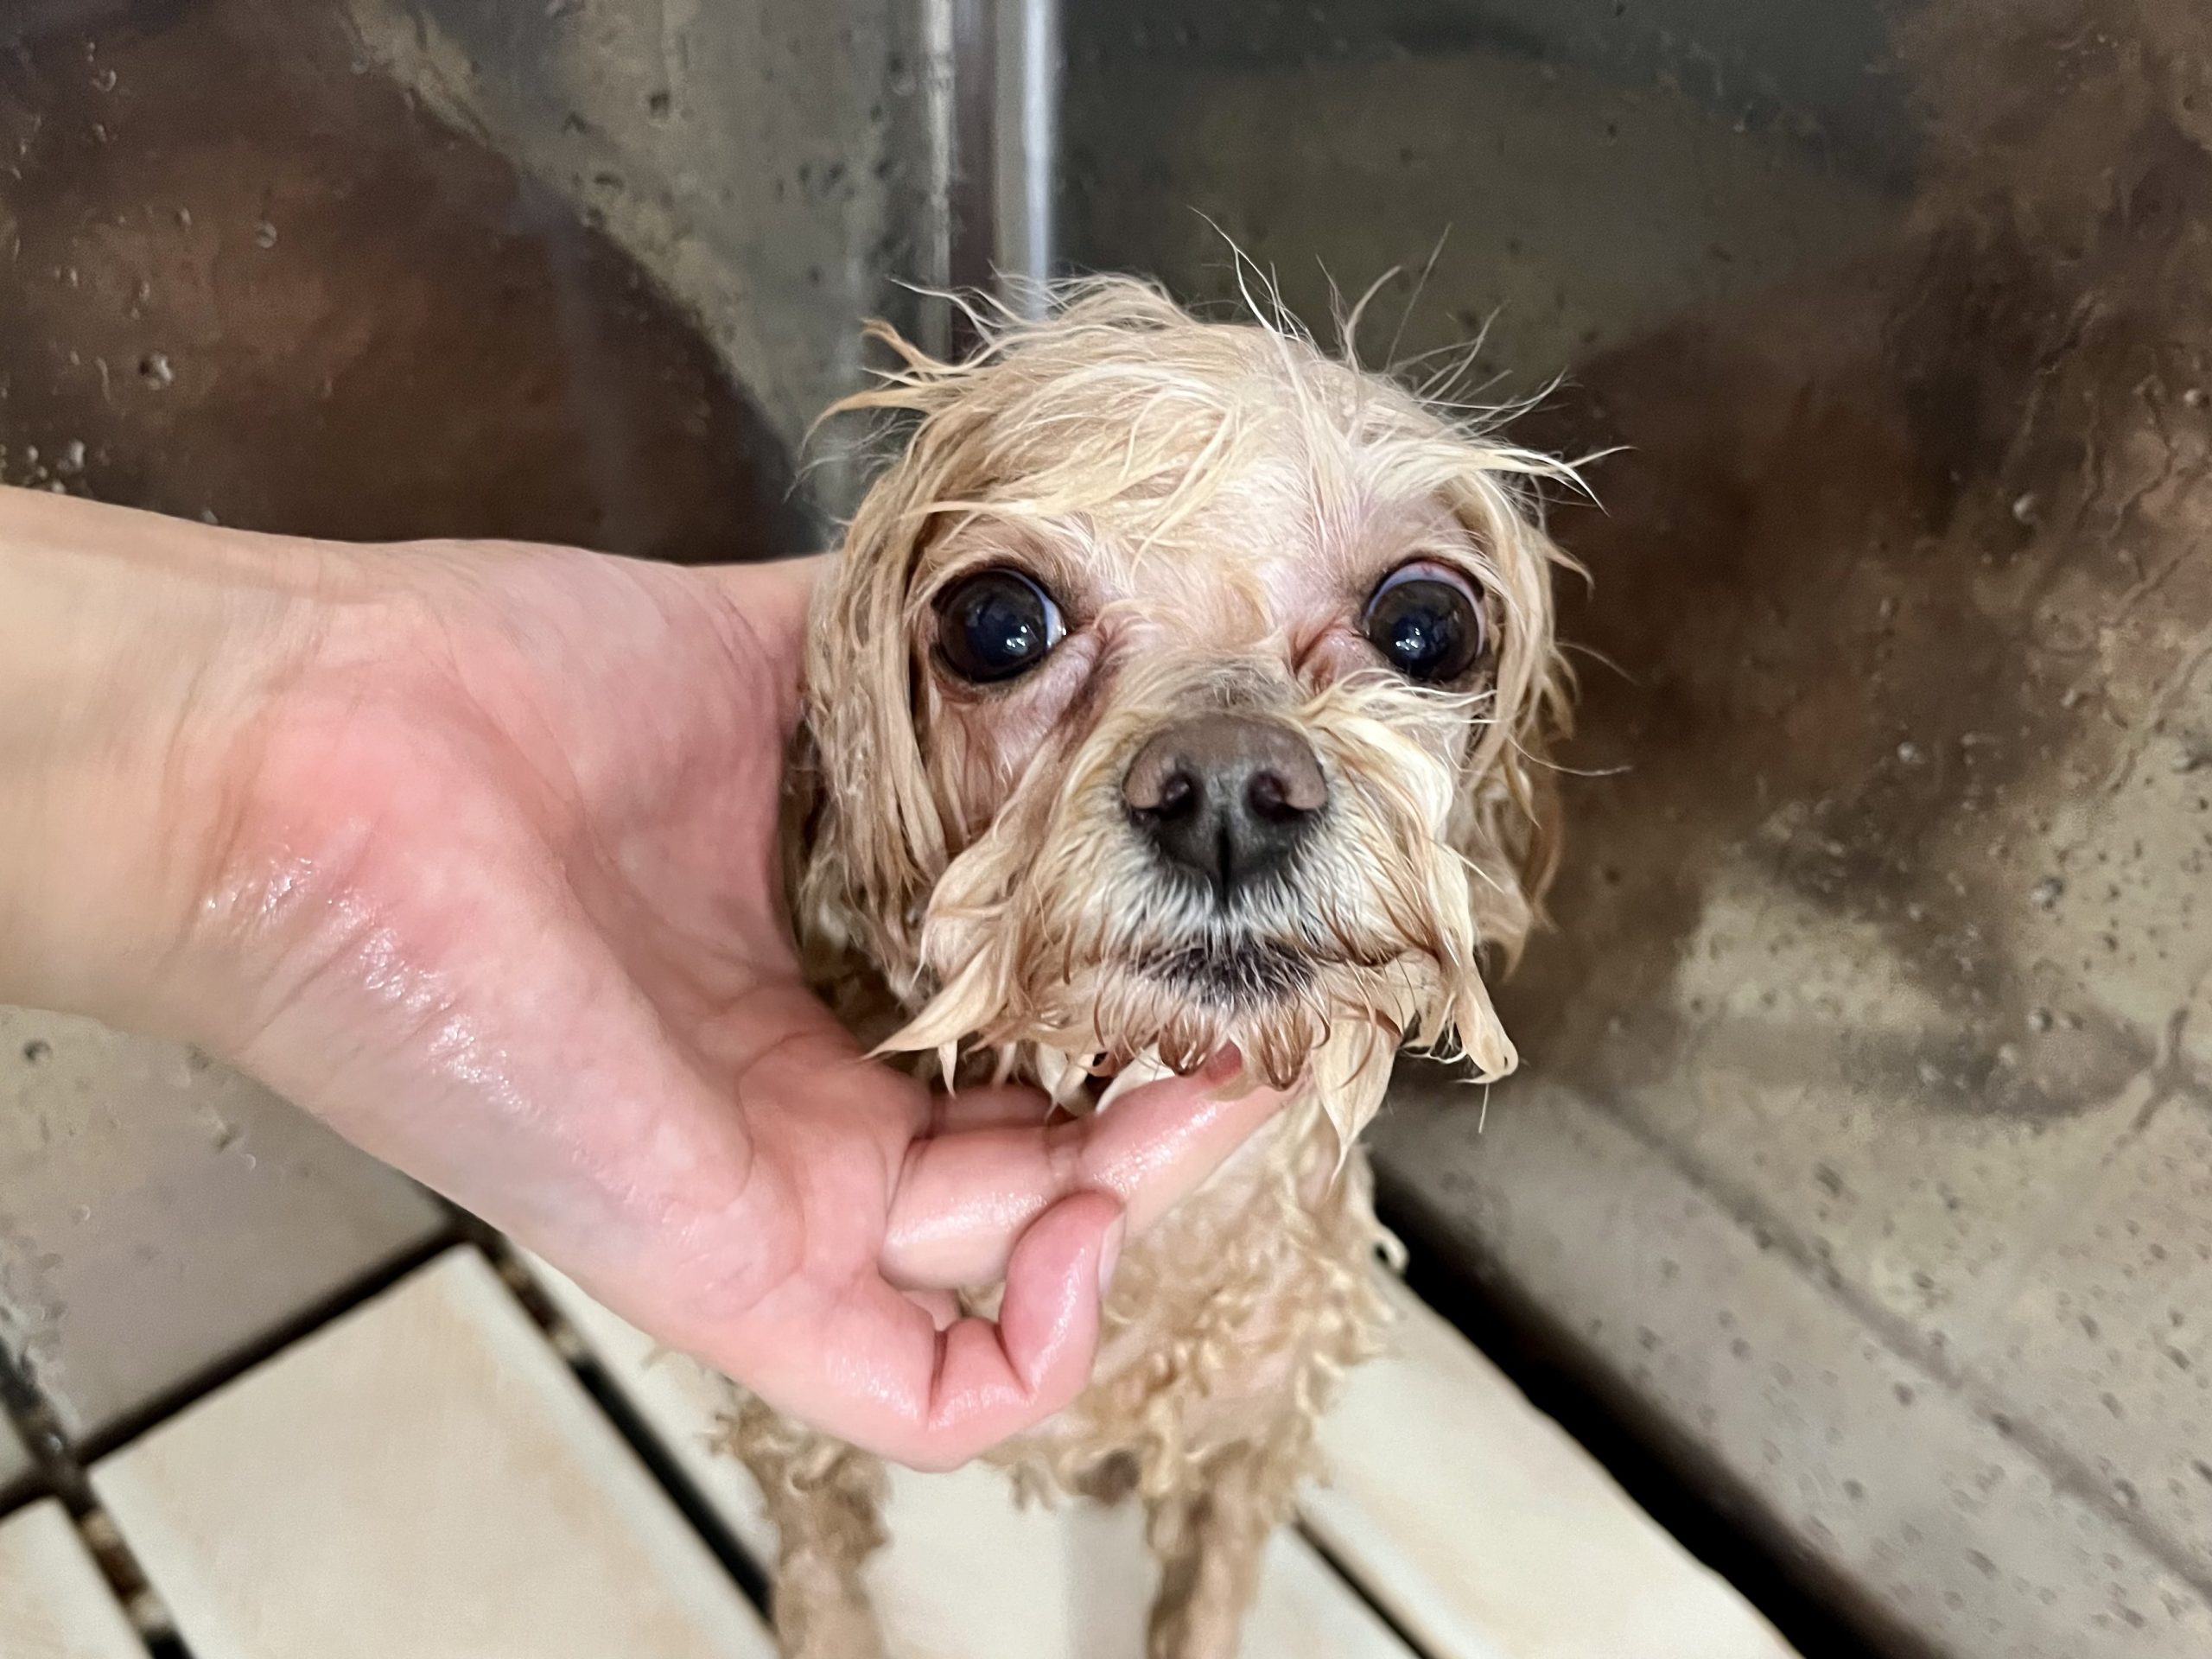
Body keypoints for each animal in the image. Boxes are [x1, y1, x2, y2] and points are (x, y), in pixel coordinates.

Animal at [729, 276, 1575, 1658]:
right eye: (995, 622)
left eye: (1427, 624)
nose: (1228, 787)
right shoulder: (800, 1426)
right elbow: (820, 1581)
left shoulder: (1256, 1429)